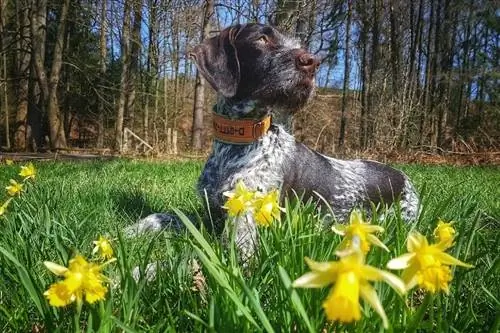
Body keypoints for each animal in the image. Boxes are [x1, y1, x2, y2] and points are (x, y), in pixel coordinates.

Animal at [125, 23, 418, 260]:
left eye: (297, 43)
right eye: (262, 38)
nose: (312, 62)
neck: (236, 145)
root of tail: (405, 177)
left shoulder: (243, 237)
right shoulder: (211, 214)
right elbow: (165, 215)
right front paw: (131, 230)